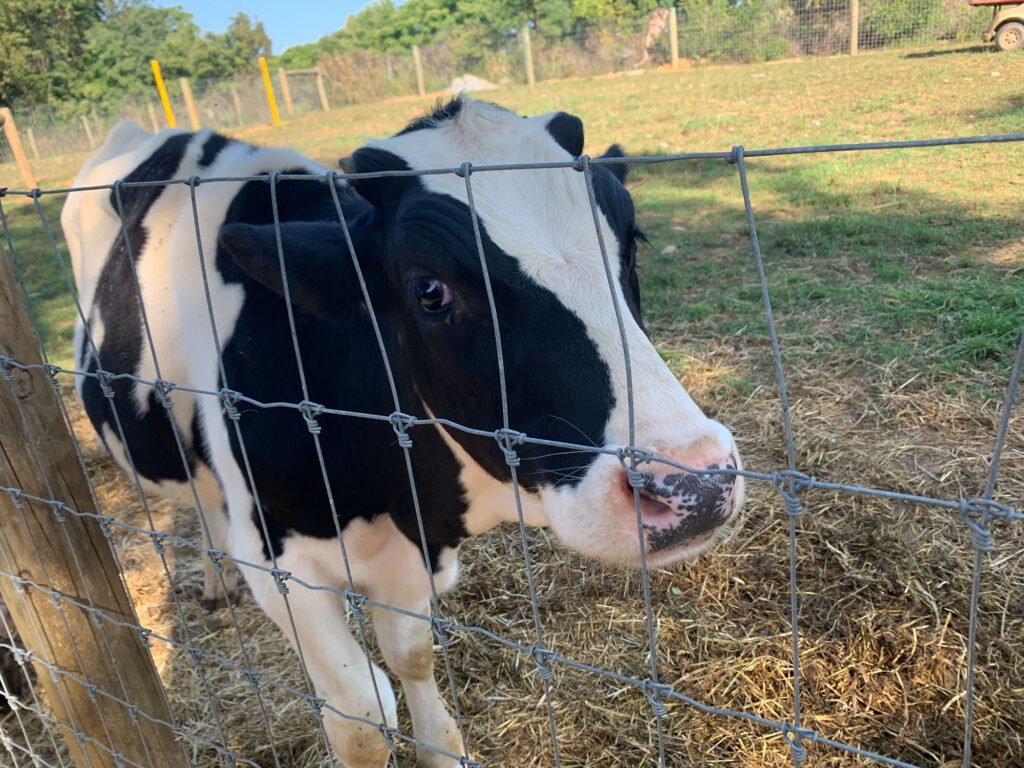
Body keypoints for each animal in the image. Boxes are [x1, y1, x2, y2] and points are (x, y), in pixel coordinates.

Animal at [61, 100, 745, 768]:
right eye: (429, 290)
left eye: (631, 242)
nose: (694, 484)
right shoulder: (275, 561)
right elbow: (362, 719)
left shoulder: (410, 553)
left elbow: (411, 655)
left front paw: (442, 746)